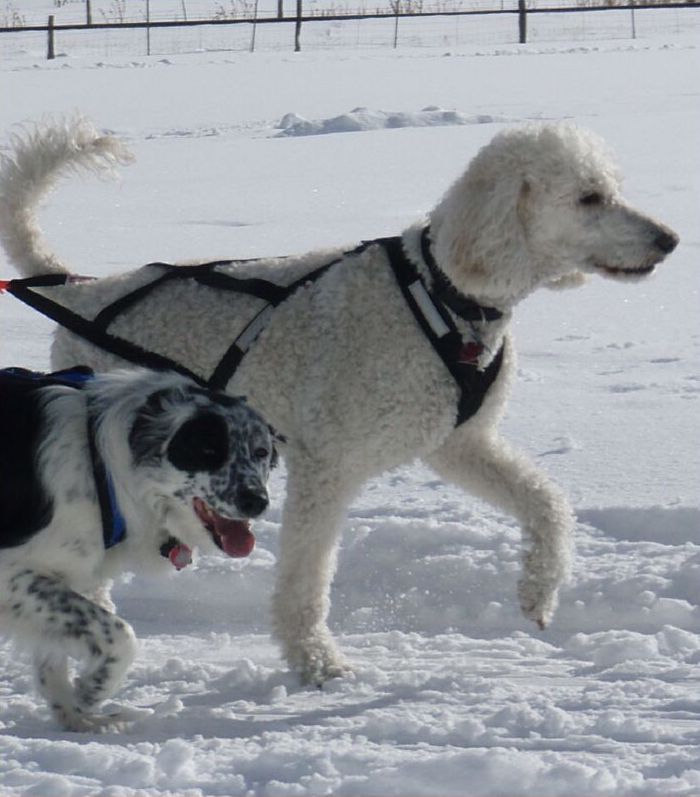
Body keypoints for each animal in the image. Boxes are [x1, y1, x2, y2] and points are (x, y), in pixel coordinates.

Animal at [0, 366, 278, 728]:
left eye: (261, 452)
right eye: (208, 451)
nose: (257, 501)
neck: (100, 466)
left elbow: (56, 654)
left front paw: (76, 715)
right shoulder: (12, 573)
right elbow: (121, 635)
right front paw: (91, 690)